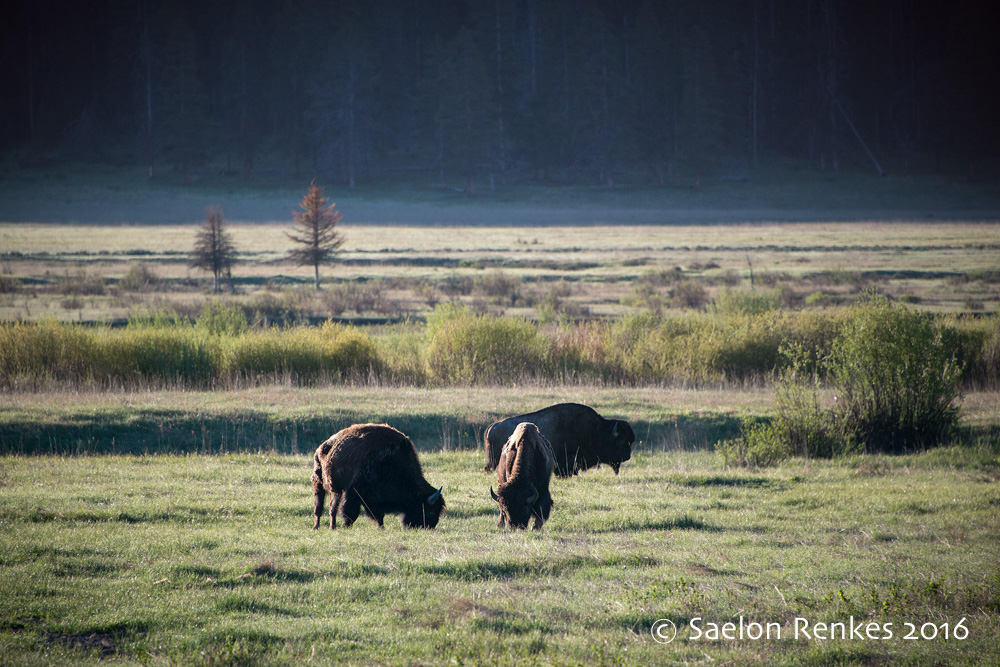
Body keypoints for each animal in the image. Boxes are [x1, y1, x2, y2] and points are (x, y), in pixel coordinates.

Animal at [312, 423, 445, 530]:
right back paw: (316, 527)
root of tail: (322, 447)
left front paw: (381, 527)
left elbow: (378, 514)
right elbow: (351, 512)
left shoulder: (373, 498)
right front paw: (346, 526)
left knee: (332, 507)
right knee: (319, 506)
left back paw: (332, 527)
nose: (428, 527)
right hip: (318, 483)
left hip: (336, 491)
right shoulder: (354, 491)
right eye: (430, 511)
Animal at [484, 403, 634, 477]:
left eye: (630, 441)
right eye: (621, 441)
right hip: (494, 460)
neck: (597, 431)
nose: (628, 456)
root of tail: (492, 426)